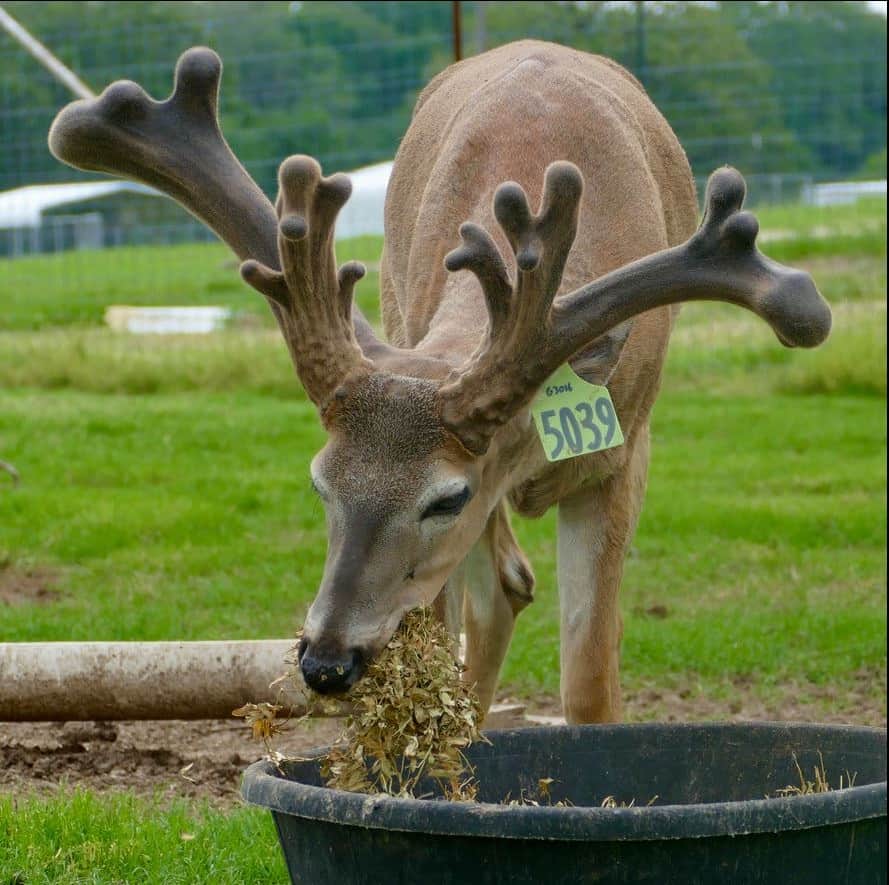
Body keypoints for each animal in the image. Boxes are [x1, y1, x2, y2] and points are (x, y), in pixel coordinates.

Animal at [48, 40, 831, 724]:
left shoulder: (621, 450)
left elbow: (589, 684)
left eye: (445, 497)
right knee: (500, 592)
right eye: (320, 482)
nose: (325, 662)